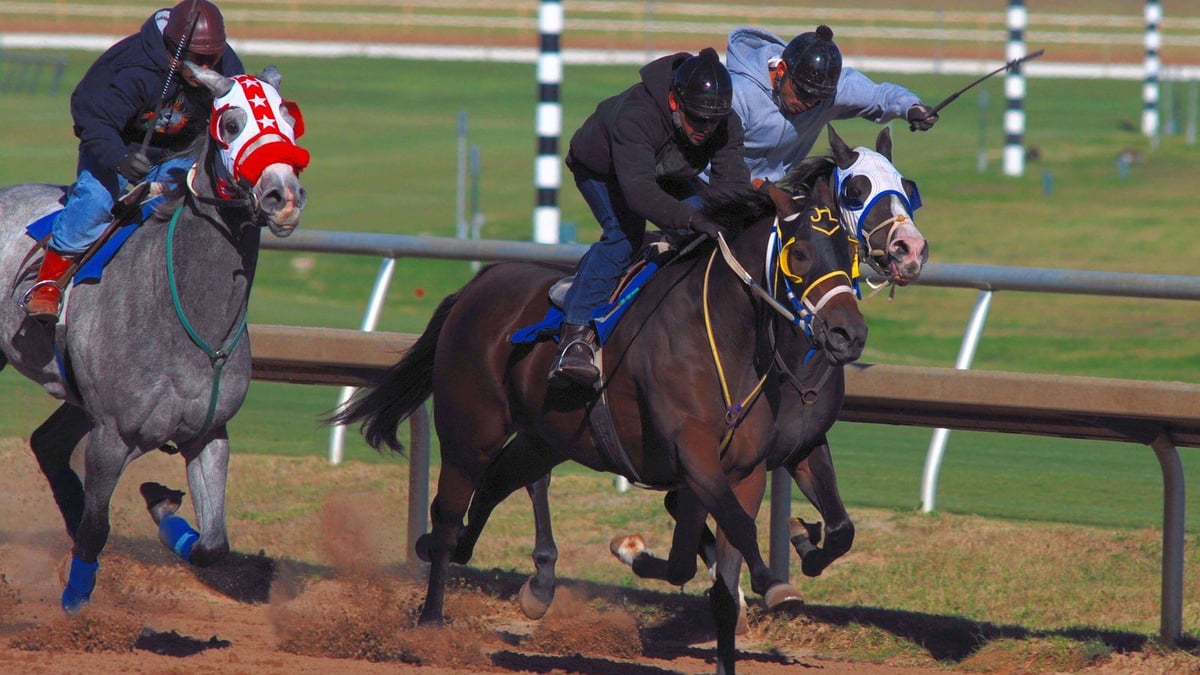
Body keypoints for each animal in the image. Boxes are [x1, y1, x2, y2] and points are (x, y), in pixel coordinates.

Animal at [0, 63, 309, 612]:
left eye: (291, 122)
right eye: (231, 122)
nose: (283, 197)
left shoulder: (209, 434)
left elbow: (212, 545)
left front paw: (164, 508)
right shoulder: (111, 435)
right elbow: (95, 530)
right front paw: (76, 604)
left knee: (48, 444)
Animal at [333, 133, 867, 673]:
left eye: (849, 250)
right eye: (800, 254)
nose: (850, 335)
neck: (726, 337)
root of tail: (476, 285)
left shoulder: (745, 469)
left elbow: (715, 575)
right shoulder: (694, 452)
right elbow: (737, 531)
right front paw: (770, 578)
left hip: (543, 438)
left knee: (497, 485)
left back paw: (526, 583)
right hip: (469, 431)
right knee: (447, 513)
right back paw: (430, 623)